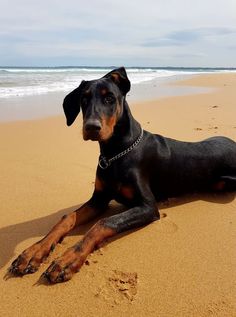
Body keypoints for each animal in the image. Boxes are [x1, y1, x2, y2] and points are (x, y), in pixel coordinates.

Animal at [9, 66, 236, 282]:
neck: (114, 153)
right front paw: (34, 251)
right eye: (84, 99)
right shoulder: (99, 199)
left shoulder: (147, 206)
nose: (91, 127)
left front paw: (68, 259)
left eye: (109, 98)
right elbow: (67, 217)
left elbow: (103, 223)